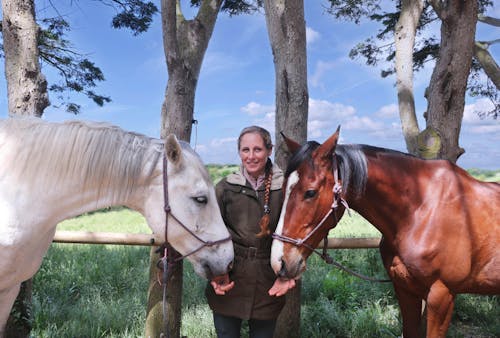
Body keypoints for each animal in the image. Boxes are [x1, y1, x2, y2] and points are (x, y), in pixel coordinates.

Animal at [270, 127, 500, 338]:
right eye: (283, 188)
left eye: (310, 192)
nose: (279, 262)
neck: (421, 210)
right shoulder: (405, 291)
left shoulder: (441, 296)